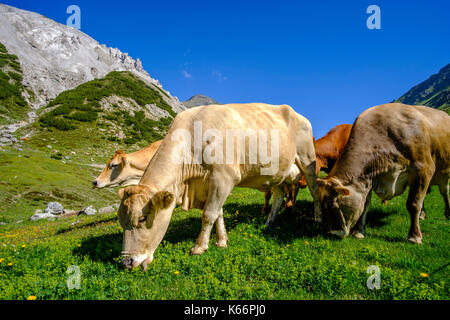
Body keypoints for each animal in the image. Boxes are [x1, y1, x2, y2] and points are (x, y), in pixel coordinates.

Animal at [114, 104, 322, 268]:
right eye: (121, 221)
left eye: (142, 219)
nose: (127, 262)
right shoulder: (212, 183)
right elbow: (218, 213)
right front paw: (222, 241)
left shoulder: (223, 177)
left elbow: (209, 214)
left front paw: (199, 247)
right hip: (277, 173)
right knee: (279, 196)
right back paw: (268, 222)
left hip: (307, 159)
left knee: (314, 189)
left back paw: (318, 219)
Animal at [316, 104, 450, 244]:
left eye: (332, 203)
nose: (335, 233)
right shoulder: (368, 179)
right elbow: (365, 205)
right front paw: (359, 231)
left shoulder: (423, 169)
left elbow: (413, 204)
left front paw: (414, 236)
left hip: (443, 172)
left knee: (444, 191)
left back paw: (447, 213)